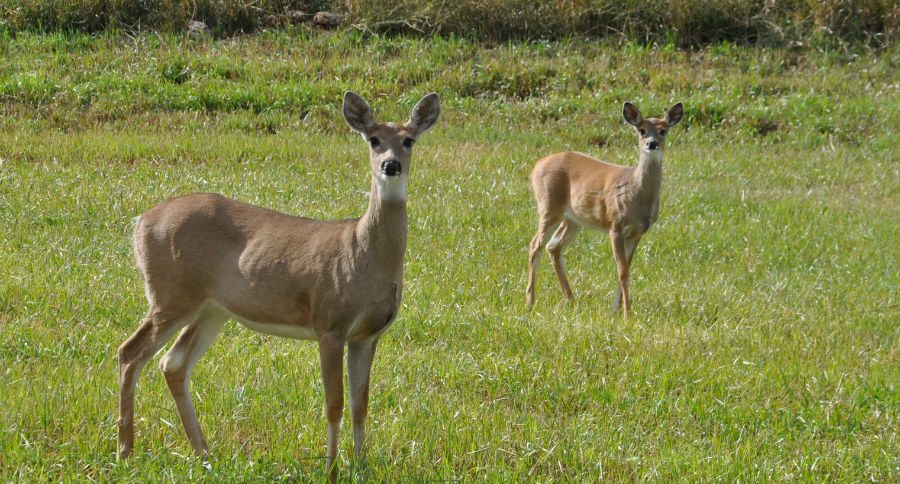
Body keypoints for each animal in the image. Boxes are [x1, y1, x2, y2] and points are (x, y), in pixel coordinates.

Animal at [116, 91, 440, 481]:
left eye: (409, 140)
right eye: (373, 139)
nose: (390, 166)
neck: (366, 256)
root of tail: (139, 223)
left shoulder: (367, 335)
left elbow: (361, 404)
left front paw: (361, 469)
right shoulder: (330, 323)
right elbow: (334, 404)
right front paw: (331, 470)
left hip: (212, 309)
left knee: (173, 363)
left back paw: (204, 454)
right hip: (170, 294)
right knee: (130, 352)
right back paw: (125, 452)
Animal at [526, 101, 683, 316]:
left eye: (663, 131)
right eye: (641, 130)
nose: (652, 143)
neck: (636, 193)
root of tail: (536, 166)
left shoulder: (637, 232)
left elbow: (625, 269)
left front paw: (616, 310)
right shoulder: (615, 224)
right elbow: (623, 271)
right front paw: (627, 314)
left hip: (574, 218)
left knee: (553, 246)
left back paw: (571, 300)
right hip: (549, 206)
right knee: (535, 245)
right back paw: (530, 302)